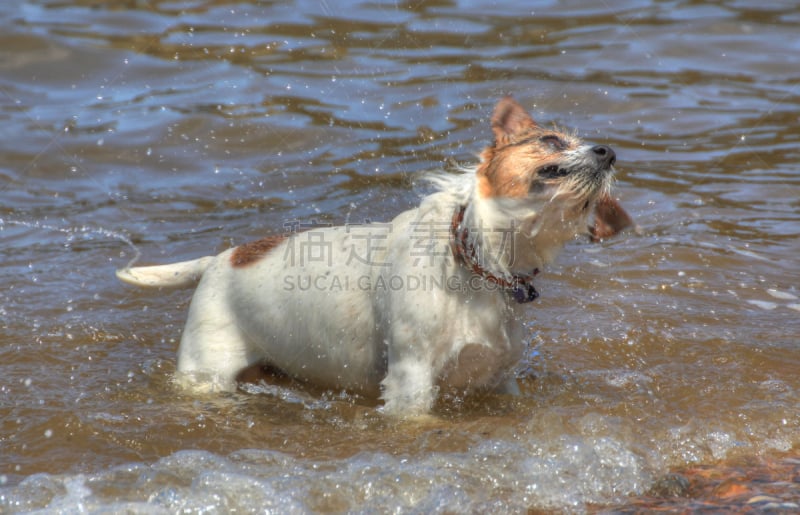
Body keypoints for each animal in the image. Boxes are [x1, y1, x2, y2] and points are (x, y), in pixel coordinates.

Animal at [117, 97, 632, 418]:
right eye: (551, 142)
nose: (609, 152)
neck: (476, 259)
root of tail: (220, 259)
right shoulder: (410, 380)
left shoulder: (497, 379)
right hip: (205, 372)